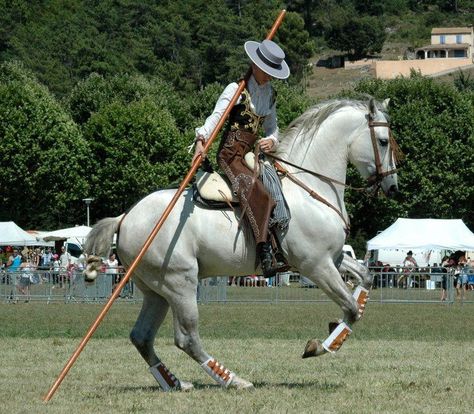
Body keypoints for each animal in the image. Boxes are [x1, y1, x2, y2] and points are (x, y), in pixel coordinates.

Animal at [83, 98, 398, 390]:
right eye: (383, 141)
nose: (392, 187)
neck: (310, 188)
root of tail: (125, 218)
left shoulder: (333, 259)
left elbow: (366, 278)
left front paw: (334, 332)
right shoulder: (316, 266)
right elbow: (351, 309)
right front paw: (321, 345)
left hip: (155, 291)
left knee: (141, 336)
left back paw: (175, 383)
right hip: (179, 283)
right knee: (186, 338)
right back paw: (232, 379)